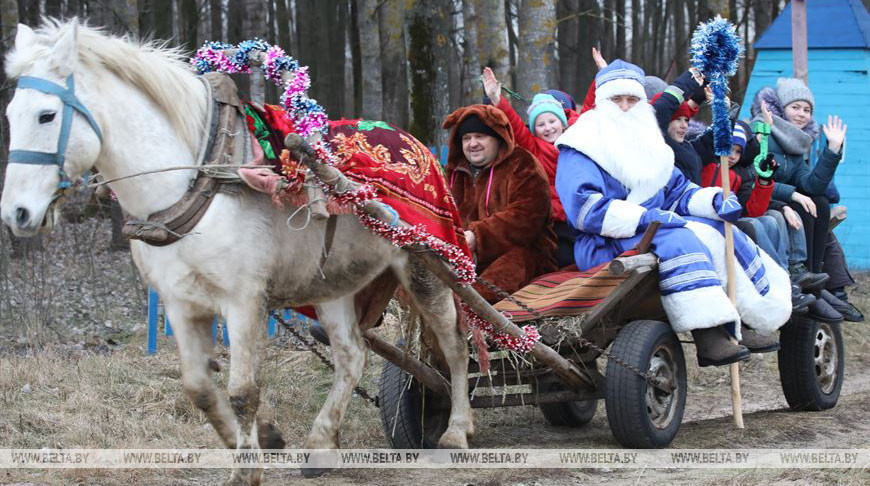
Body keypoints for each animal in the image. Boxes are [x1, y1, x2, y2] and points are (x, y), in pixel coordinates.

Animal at [1, 19, 476, 482]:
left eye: (47, 115)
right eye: (11, 114)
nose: (16, 213)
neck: (197, 179)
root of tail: (413, 143)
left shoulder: (244, 301)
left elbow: (243, 391)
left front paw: (247, 469)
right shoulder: (180, 302)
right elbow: (200, 389)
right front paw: (263, 438)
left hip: (426, 266)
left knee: (455, 346)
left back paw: (455, 432)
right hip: (332, 283)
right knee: (351, 355)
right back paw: (322, 444)